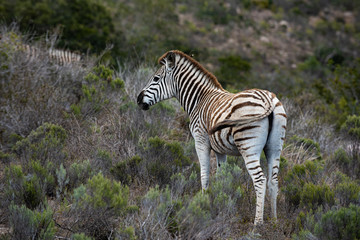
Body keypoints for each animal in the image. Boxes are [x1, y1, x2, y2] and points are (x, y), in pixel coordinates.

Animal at [137, 50, 286, 225]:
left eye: (155, 79)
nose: (138, 100)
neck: (199, 100)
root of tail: (268, 99)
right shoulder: (220, 149)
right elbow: (222, 176)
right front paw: (221, 204)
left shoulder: (200, 141)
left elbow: (204, 175)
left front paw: (202, 205)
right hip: (275, 147)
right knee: (273, 181)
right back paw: (274, 221)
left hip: (248, 146)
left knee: (260, 180)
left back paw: (258, 223)